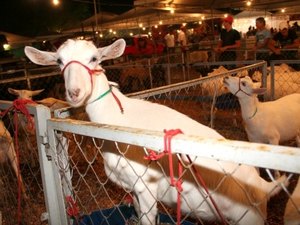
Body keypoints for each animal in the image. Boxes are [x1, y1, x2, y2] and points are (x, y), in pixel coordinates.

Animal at [25, 38, 288, 225]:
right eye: (59, 61)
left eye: (94, 58)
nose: (75, 92)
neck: (117, 118)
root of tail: (262, 185)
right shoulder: (133, 189)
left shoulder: (146, 187)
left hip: (251, 218)